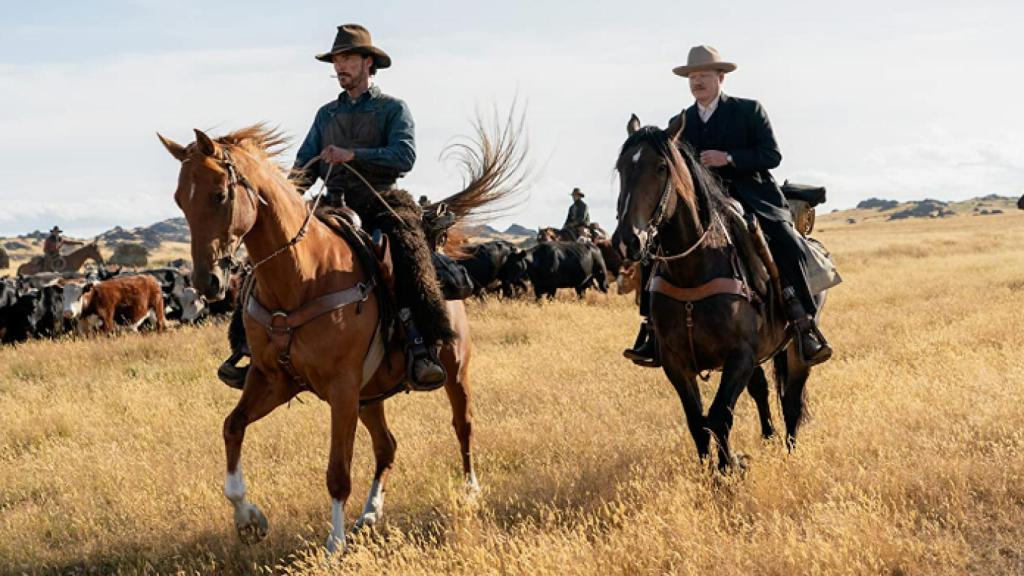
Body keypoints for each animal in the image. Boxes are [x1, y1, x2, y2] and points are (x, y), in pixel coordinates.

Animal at [159, 117, 528, 553]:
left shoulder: (341, 387)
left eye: (219, 195)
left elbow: (337, 470)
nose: (208, 282)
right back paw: (369, 515)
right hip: (370, 396)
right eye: (181, 200)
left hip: (454, 371)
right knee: (387, 445)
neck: (302, 275)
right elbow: (232, 427)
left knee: (463, 425)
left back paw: (470, 490)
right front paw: (249, 519)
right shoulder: (273, 380)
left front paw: (333, 544)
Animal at [614, 114, 823, 469]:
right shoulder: (676, 362)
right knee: (762, 390)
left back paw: (789, 452)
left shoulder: (739, 356)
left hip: (797, 351)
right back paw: (768, 438)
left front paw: (729, 469)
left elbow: (719, 417)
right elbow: (697, 422)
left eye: (661, 167)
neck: (694, 270)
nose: (628, 240)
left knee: (792, 399)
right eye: (620, 168)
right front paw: (707, 472)